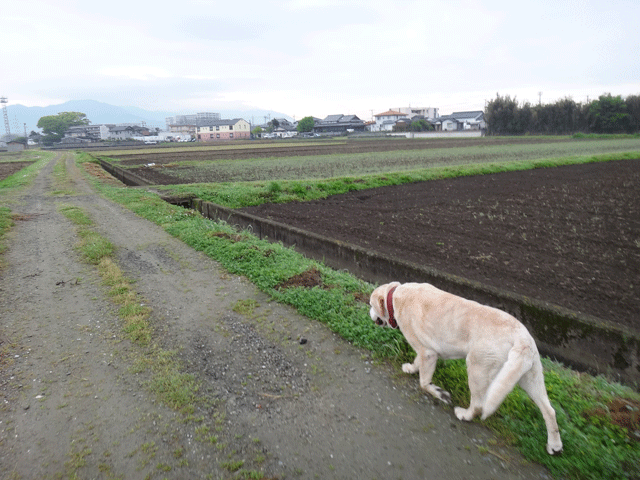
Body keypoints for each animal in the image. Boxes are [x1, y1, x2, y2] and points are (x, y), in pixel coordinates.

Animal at [370, 282, 560, 454]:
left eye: (371, 305)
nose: (369, 311)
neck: (394, 297)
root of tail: (522, 338)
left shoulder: (428, 353)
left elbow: (424, 383)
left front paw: (440, 393)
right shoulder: (426, 352)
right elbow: (418, 364)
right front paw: (411, 368)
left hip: (477, 370)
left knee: (479, 406)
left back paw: (464, 415)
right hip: (528, 377)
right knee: (549, 411)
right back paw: (555, 446)